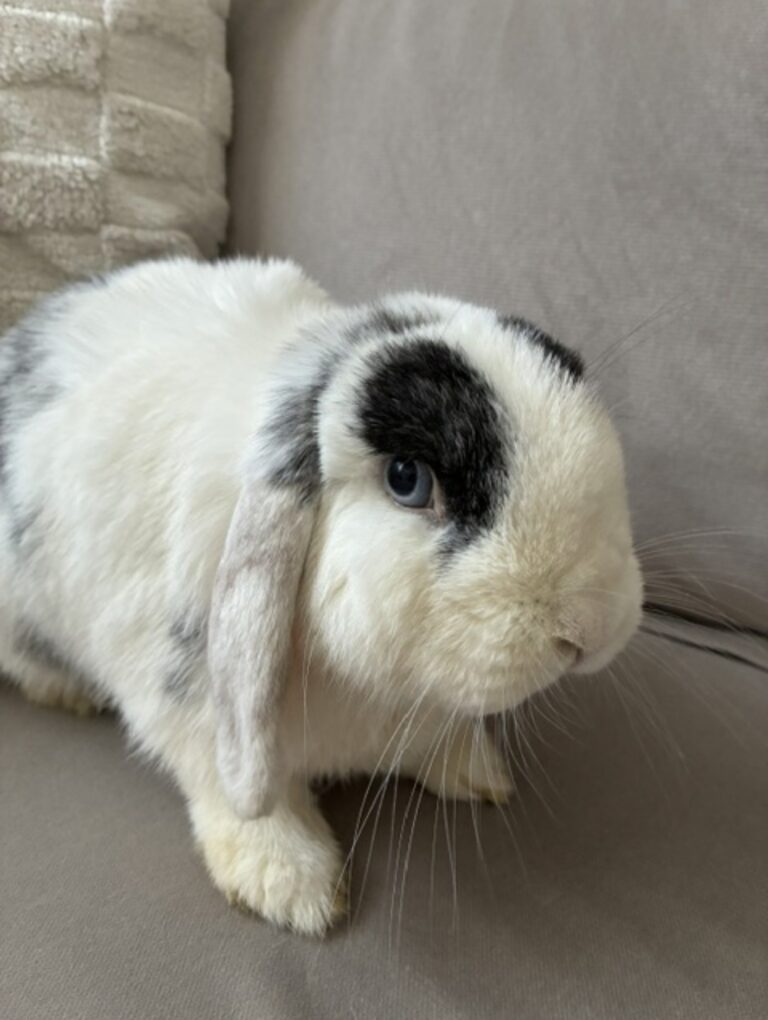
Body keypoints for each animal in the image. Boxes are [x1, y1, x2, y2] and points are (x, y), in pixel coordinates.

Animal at [0, 257, 642, 934]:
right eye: (408, 480)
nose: (589, 628)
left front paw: (477, 772)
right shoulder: (193, 706)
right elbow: (233, 790)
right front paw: (292, 886)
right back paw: (68, 693)